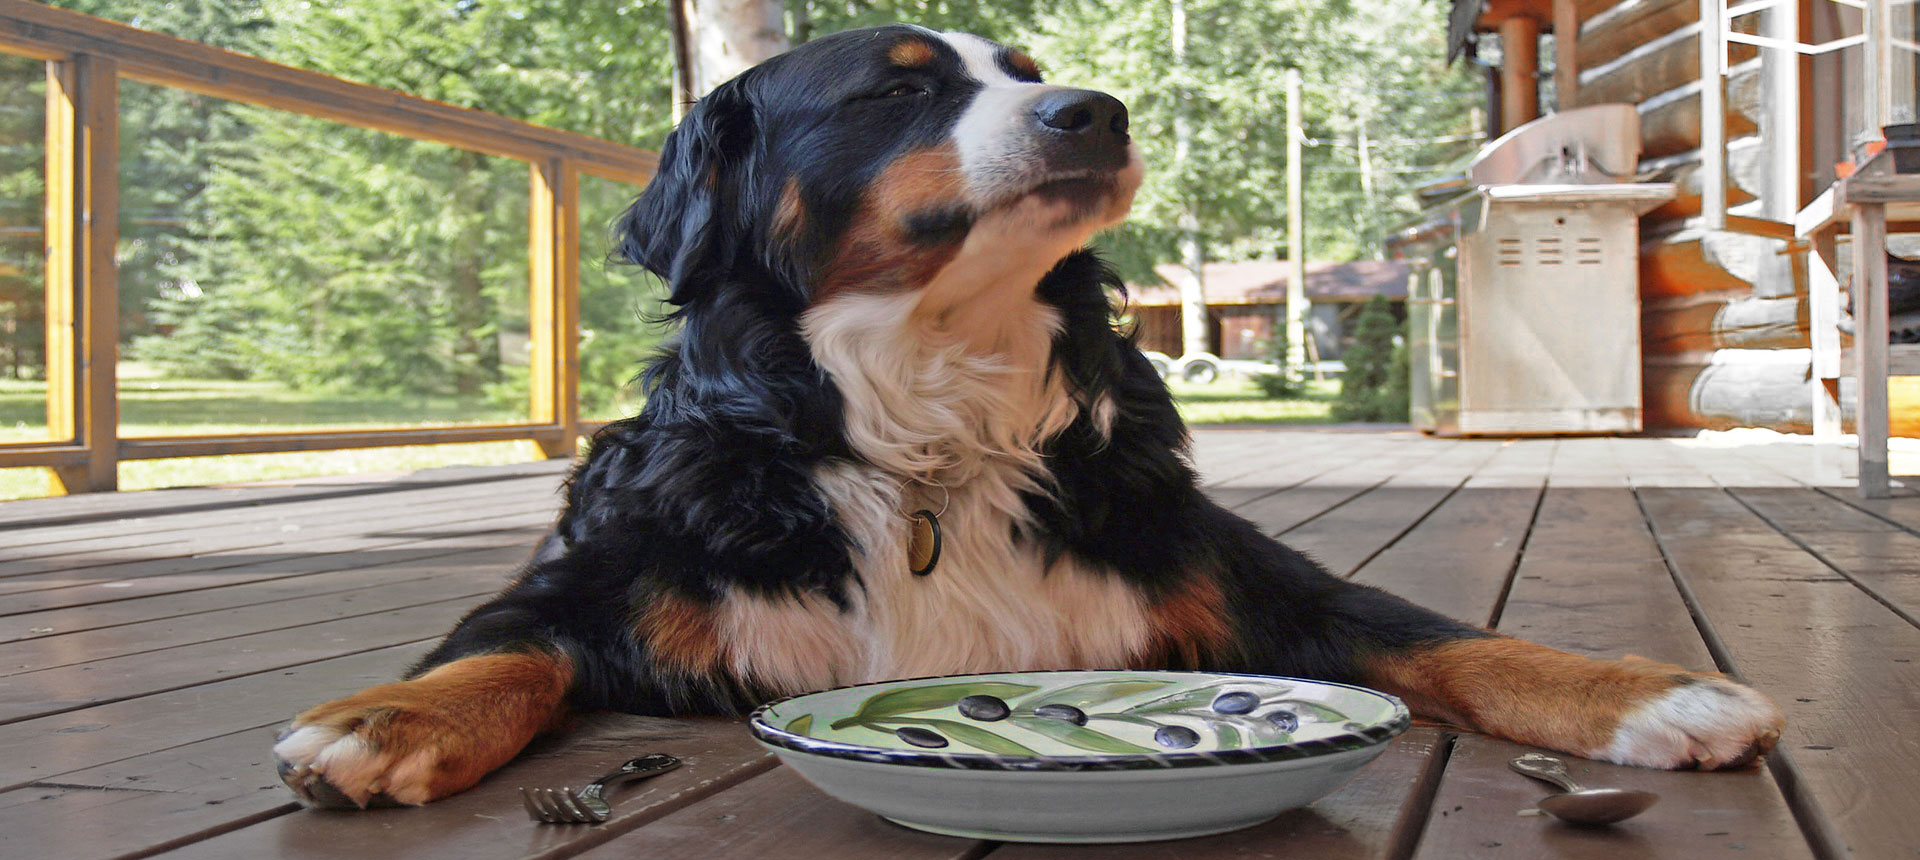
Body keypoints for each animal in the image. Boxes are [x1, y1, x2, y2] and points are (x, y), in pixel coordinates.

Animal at [270, 23, 1781, 810]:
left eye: (1032, 63)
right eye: (899, 85)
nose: (1096, 110)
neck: (930, 423)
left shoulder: (1237, 573)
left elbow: (1448, 635)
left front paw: (1643, 691)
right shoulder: (600, 575)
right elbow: (500, 649)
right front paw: (385, 719)